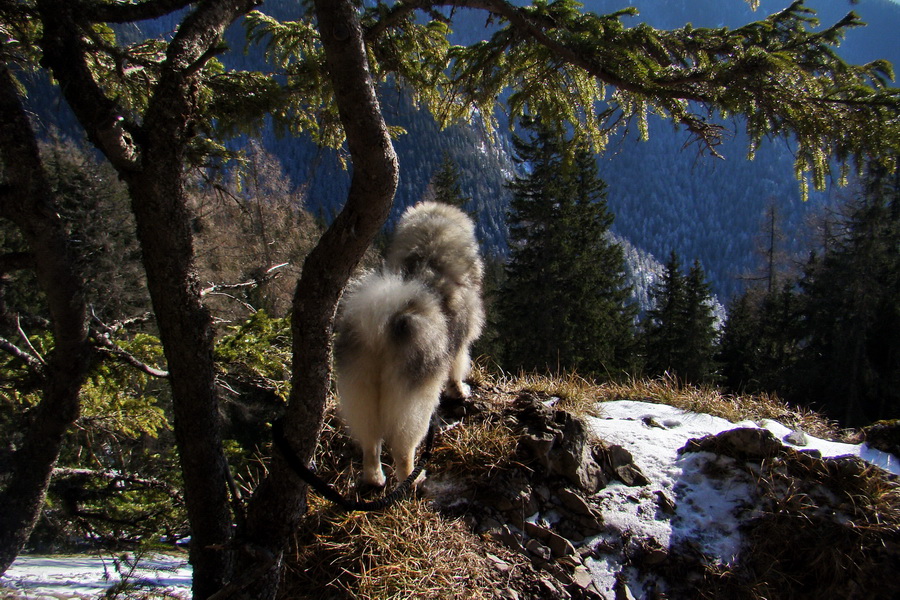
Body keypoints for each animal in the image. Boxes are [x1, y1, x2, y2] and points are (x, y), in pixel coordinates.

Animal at [334, 202, 486, 488]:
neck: (428, 258)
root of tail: (378, 328)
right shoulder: (460, 346)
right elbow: (456, 372)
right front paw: (461, 391)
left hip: (360, 389)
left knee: (371, 443)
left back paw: (375, 478)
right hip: (414, 403)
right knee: (403, 448)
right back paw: (413, 478)